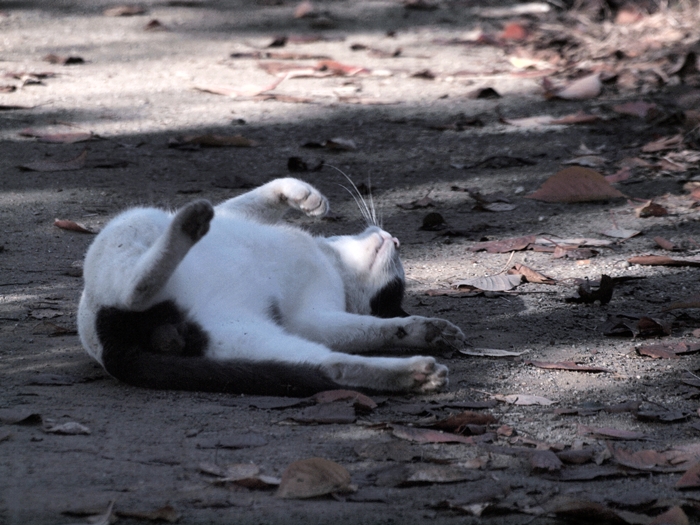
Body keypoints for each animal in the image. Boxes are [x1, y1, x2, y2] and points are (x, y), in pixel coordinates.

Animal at [78, 178, 464, 396]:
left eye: (394, 287)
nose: (395, 239)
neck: (330, 259)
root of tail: (115, 343)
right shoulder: (234, 217)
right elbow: (256, 198)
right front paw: (307, 197)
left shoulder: (312, 318)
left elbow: (372, 328)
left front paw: (428, 330)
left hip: (252, 339)